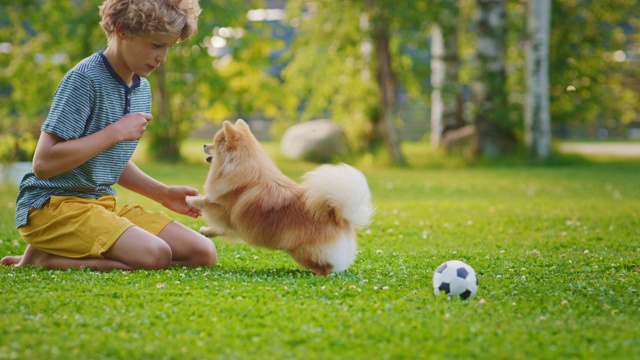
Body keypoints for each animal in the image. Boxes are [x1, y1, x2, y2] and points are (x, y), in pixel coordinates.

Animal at [185, 119, 376, 274]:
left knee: (325, 266)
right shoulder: (231, 223)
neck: (237, 166)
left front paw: (190, 199)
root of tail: (337, 215)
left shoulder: (225, 209)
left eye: (215, 143)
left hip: (303, 252)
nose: (203, 144)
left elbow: (207, 202)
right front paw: (206, 231)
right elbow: (220, 228)